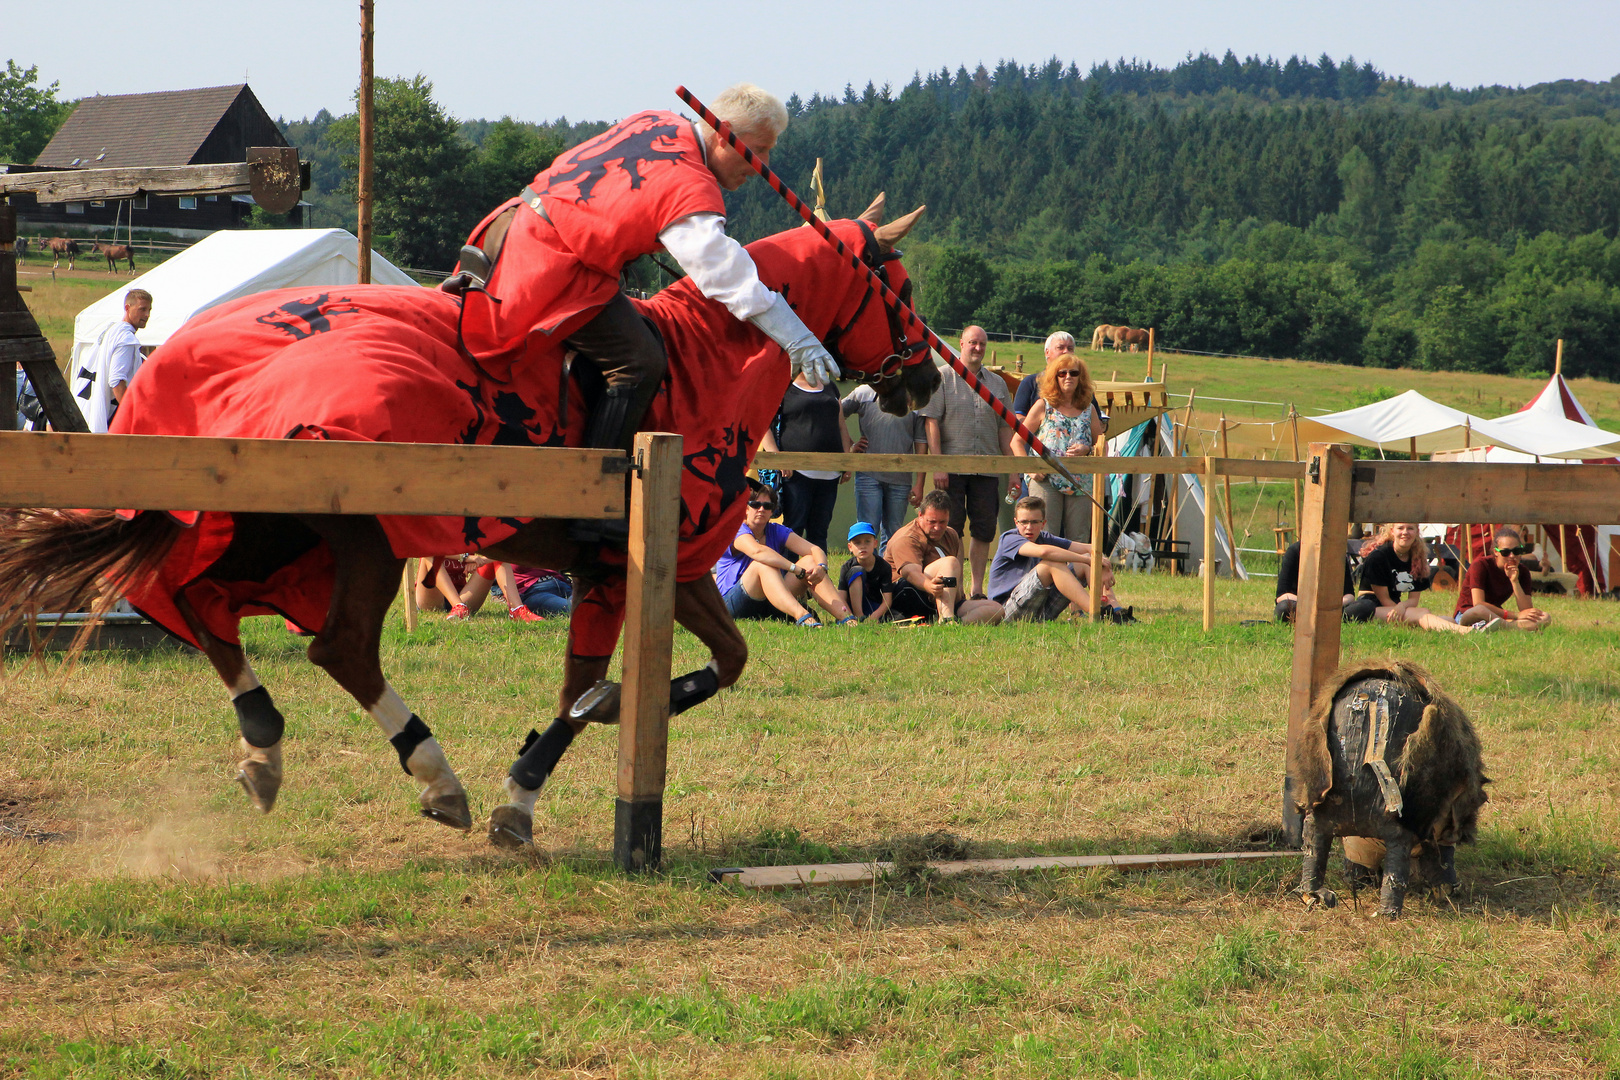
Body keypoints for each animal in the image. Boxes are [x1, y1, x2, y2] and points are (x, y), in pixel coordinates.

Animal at [0, 198, 939, 848]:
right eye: (895, 287)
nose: (925, 381)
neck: (705, 363)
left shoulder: (656, 571)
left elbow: (721, 661)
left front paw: (576, 741)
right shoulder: (636, 569)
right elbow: (599, 686)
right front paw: (529, 783)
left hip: (278, 524)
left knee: (198, 598)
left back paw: (265, 745)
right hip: (363, 533)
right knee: (333, 644)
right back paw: (429, 771)